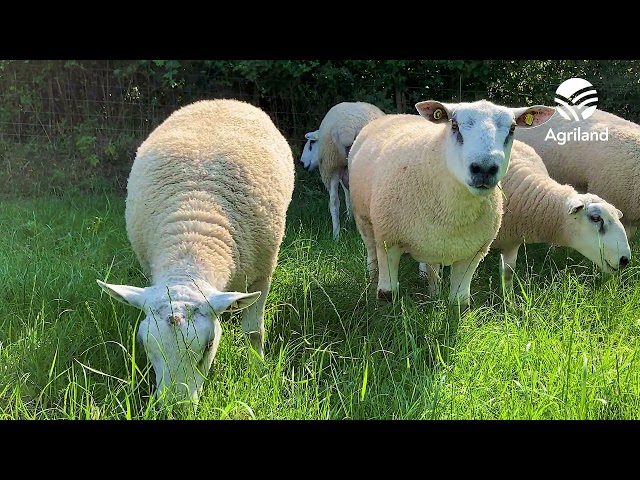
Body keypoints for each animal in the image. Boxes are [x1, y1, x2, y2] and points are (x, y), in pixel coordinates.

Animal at [96, 98, 296, 408]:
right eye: (144, 344)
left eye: (209, 346)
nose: (176, 408)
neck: (191, 245)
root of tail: (221, 100)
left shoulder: (262, 274)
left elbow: (253, 331)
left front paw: (258, 370)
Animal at [418, 139, 632, 294]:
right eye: (596, 218)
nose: (625, 260)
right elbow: (436, 269)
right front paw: (434, 296)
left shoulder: (512, 242)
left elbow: (508, 273)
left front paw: (509, 301)